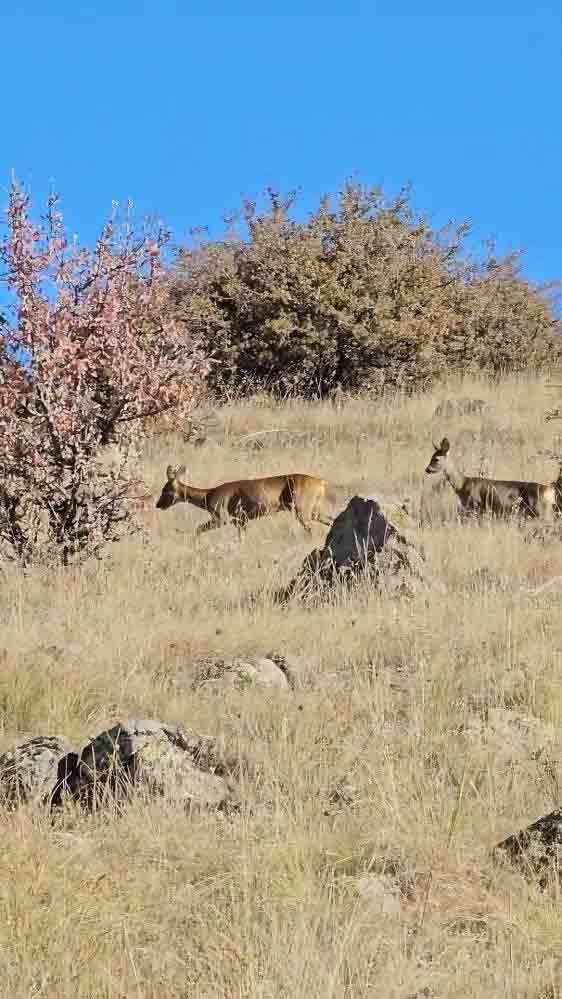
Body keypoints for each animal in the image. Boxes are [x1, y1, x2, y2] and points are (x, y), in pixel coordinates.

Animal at [154, 464, 332, 536]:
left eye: (165, 490)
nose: (157, 505)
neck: (208, 495)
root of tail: (321, 482)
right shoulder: (241, 520)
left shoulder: (222, 517)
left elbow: (198, 529)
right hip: (314, 509)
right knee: (330, 519)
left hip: (302, 509)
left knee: (311, 529)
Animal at [424, 438, 556, 524]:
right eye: (431, 457)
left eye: (436, 459)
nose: (427, 469)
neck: (462, 484)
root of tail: (550, 491)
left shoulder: (476, 505)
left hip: (541, 510)